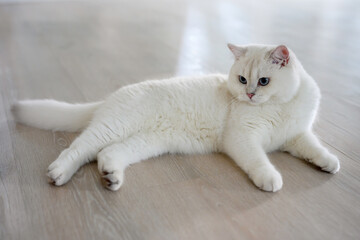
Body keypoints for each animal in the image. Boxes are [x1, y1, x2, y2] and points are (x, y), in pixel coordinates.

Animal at [13, 44, 340, 192]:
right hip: (112, 127)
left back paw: (111, 176)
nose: (248, 94)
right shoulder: (243, 138)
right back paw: (59, 173)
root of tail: (111, 97)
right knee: (78, 149)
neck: (279, 106)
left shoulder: (296, 136)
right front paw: (270, 178)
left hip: (145, 143)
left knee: (107, 154)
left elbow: (314, 148)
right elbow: (259, 161)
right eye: (242, 79)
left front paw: (328, 162)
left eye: (263, 81)